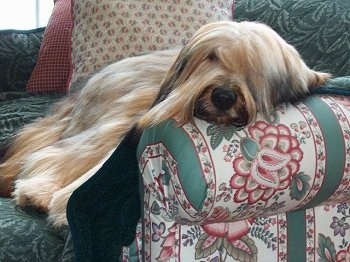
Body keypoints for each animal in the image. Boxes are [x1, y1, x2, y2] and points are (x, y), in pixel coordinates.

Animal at [0, 21, 330, 225]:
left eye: (255, 71)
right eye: (212, 57)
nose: (223, 96)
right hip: (119, 115)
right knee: (57, 154)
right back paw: (36, 192)